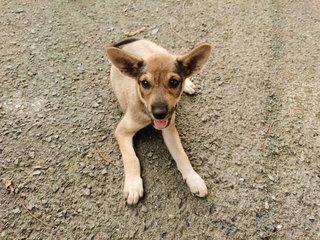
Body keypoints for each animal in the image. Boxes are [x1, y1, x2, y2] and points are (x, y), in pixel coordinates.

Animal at [105, 38, 212, 203]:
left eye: (174, 82)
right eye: (145, 83)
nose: (159, 114)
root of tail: (136, 40)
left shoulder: (169, 129)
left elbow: (181, 155)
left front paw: (193, 178)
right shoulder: (122, 131)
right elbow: (131, 159)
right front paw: (133, 185)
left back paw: (188, 84)